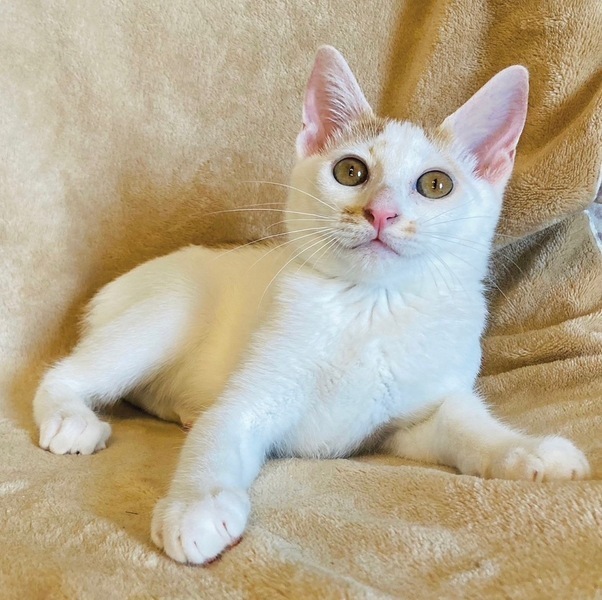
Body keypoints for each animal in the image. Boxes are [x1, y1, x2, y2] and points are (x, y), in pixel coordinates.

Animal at [33, 46, 590, 565]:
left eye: (436, 184)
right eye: (351, 170)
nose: (381, 212)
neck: (371, 309)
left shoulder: (414, 419)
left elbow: (462, 423)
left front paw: (525, 449)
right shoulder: (252, 396)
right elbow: (220, 432)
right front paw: (198, 505)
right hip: (171, 310)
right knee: (65, 373)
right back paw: (73, 417)